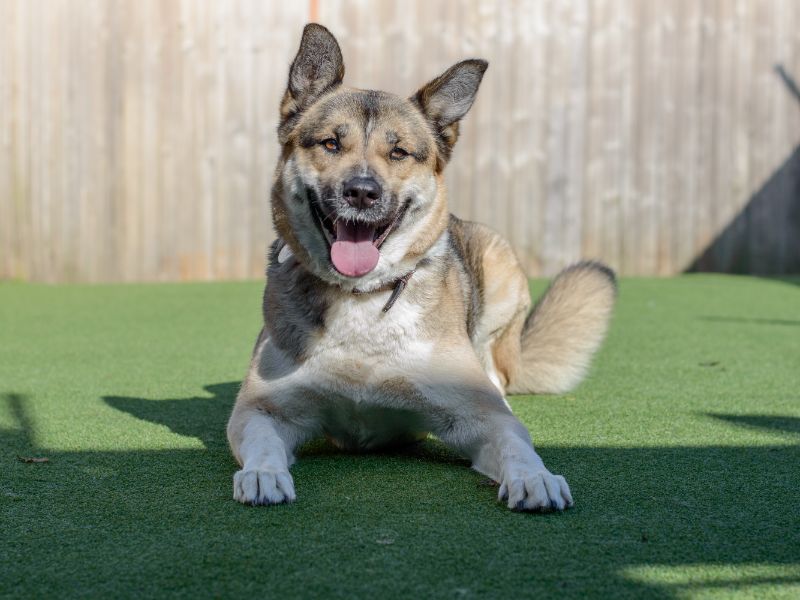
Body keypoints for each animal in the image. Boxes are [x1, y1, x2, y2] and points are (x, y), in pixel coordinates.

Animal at [227, 24, 620, 510]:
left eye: (398, 152)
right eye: (331, 144)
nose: (362, 192)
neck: (363, 296)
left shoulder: (477, 414)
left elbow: (514, 441)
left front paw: (536, 477)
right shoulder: (263, 410)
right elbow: (262, 439)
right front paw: (262, 474)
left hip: (499, 266)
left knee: (499, 374)